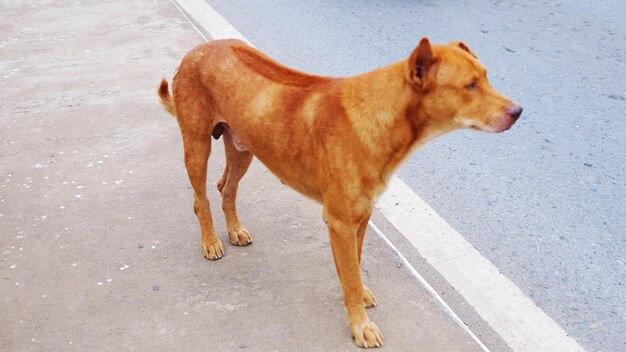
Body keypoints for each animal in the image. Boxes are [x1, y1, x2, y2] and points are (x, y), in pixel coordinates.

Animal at [158, 37, 520, 346]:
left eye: (486, 77)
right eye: (469, 85)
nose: (518, 112)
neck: (383, 119)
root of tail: (196, 50)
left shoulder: (361, 216)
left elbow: (354, 268)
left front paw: (358, 296)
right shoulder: (341, 222)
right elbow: (350, 275)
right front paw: (360, 325)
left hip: (243, 146)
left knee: (226, 188)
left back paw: (233, 229)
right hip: (197, 145)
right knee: (201, 198)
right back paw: (210, 241)